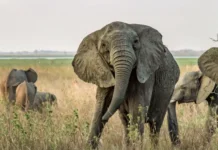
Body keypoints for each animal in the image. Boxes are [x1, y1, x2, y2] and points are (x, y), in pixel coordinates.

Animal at [72, 21, 180, 149]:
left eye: (136, 42)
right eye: (103, 45)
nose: (105, 117)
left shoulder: (145, 72)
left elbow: (137, 109)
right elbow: (100, 107)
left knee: (155, 124)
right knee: (126, 123)